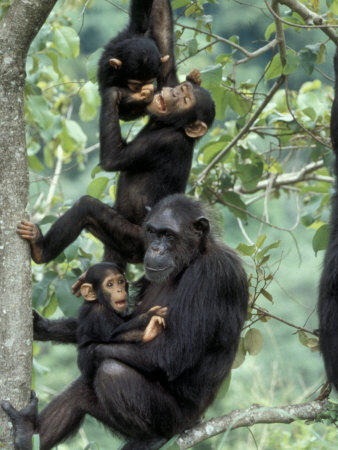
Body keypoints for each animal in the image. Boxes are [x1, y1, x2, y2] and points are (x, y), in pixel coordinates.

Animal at [2, 196, 248, 450]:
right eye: (152, 232)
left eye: (169, 235)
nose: (155, 248)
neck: (191, 260)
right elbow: (116, 322)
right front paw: (40, 327)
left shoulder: (212, 276)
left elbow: (173, 350)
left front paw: (87, 354)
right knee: (80, 393)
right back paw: (26, 432)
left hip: (178, 420)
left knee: (111, 371)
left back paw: (152, 438)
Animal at [17, 0, 214, 268]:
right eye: (181, 90)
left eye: (185, 100)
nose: (172, 94)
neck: (168, 125)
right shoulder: (165, 80)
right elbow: (163, 36)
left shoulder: (164, 143)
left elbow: (113, 160)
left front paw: (115, 94)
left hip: (137, 240)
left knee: (86, 207)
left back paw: (40, 249)